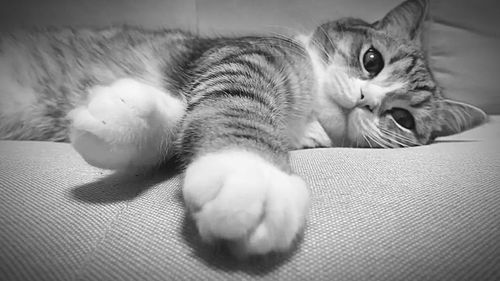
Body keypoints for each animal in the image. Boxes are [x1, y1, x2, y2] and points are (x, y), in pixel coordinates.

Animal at [0, 0, 488, 258]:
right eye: (372, 60)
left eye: (403, 118)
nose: (367, 101)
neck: (307, 109)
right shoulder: (241, 58)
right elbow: (226, 103)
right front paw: (250, 173)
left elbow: (185, 118)